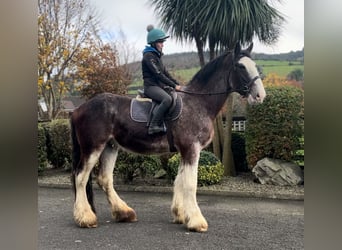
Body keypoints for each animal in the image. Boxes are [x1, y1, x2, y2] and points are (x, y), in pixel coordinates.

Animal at [71, 42, 266, 232]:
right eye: (240, 66)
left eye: (254, 65)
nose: (260, 96)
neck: (198, 103)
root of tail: (79, 109)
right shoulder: (191, 149)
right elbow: (190, 183)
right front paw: (196, 221)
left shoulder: (184, 151)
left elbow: (179, 181)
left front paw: (181, 215)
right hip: (93, 147)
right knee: (80, 177)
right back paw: (85, 218)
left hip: (110, 147)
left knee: (104, 179)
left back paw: (123, 213)